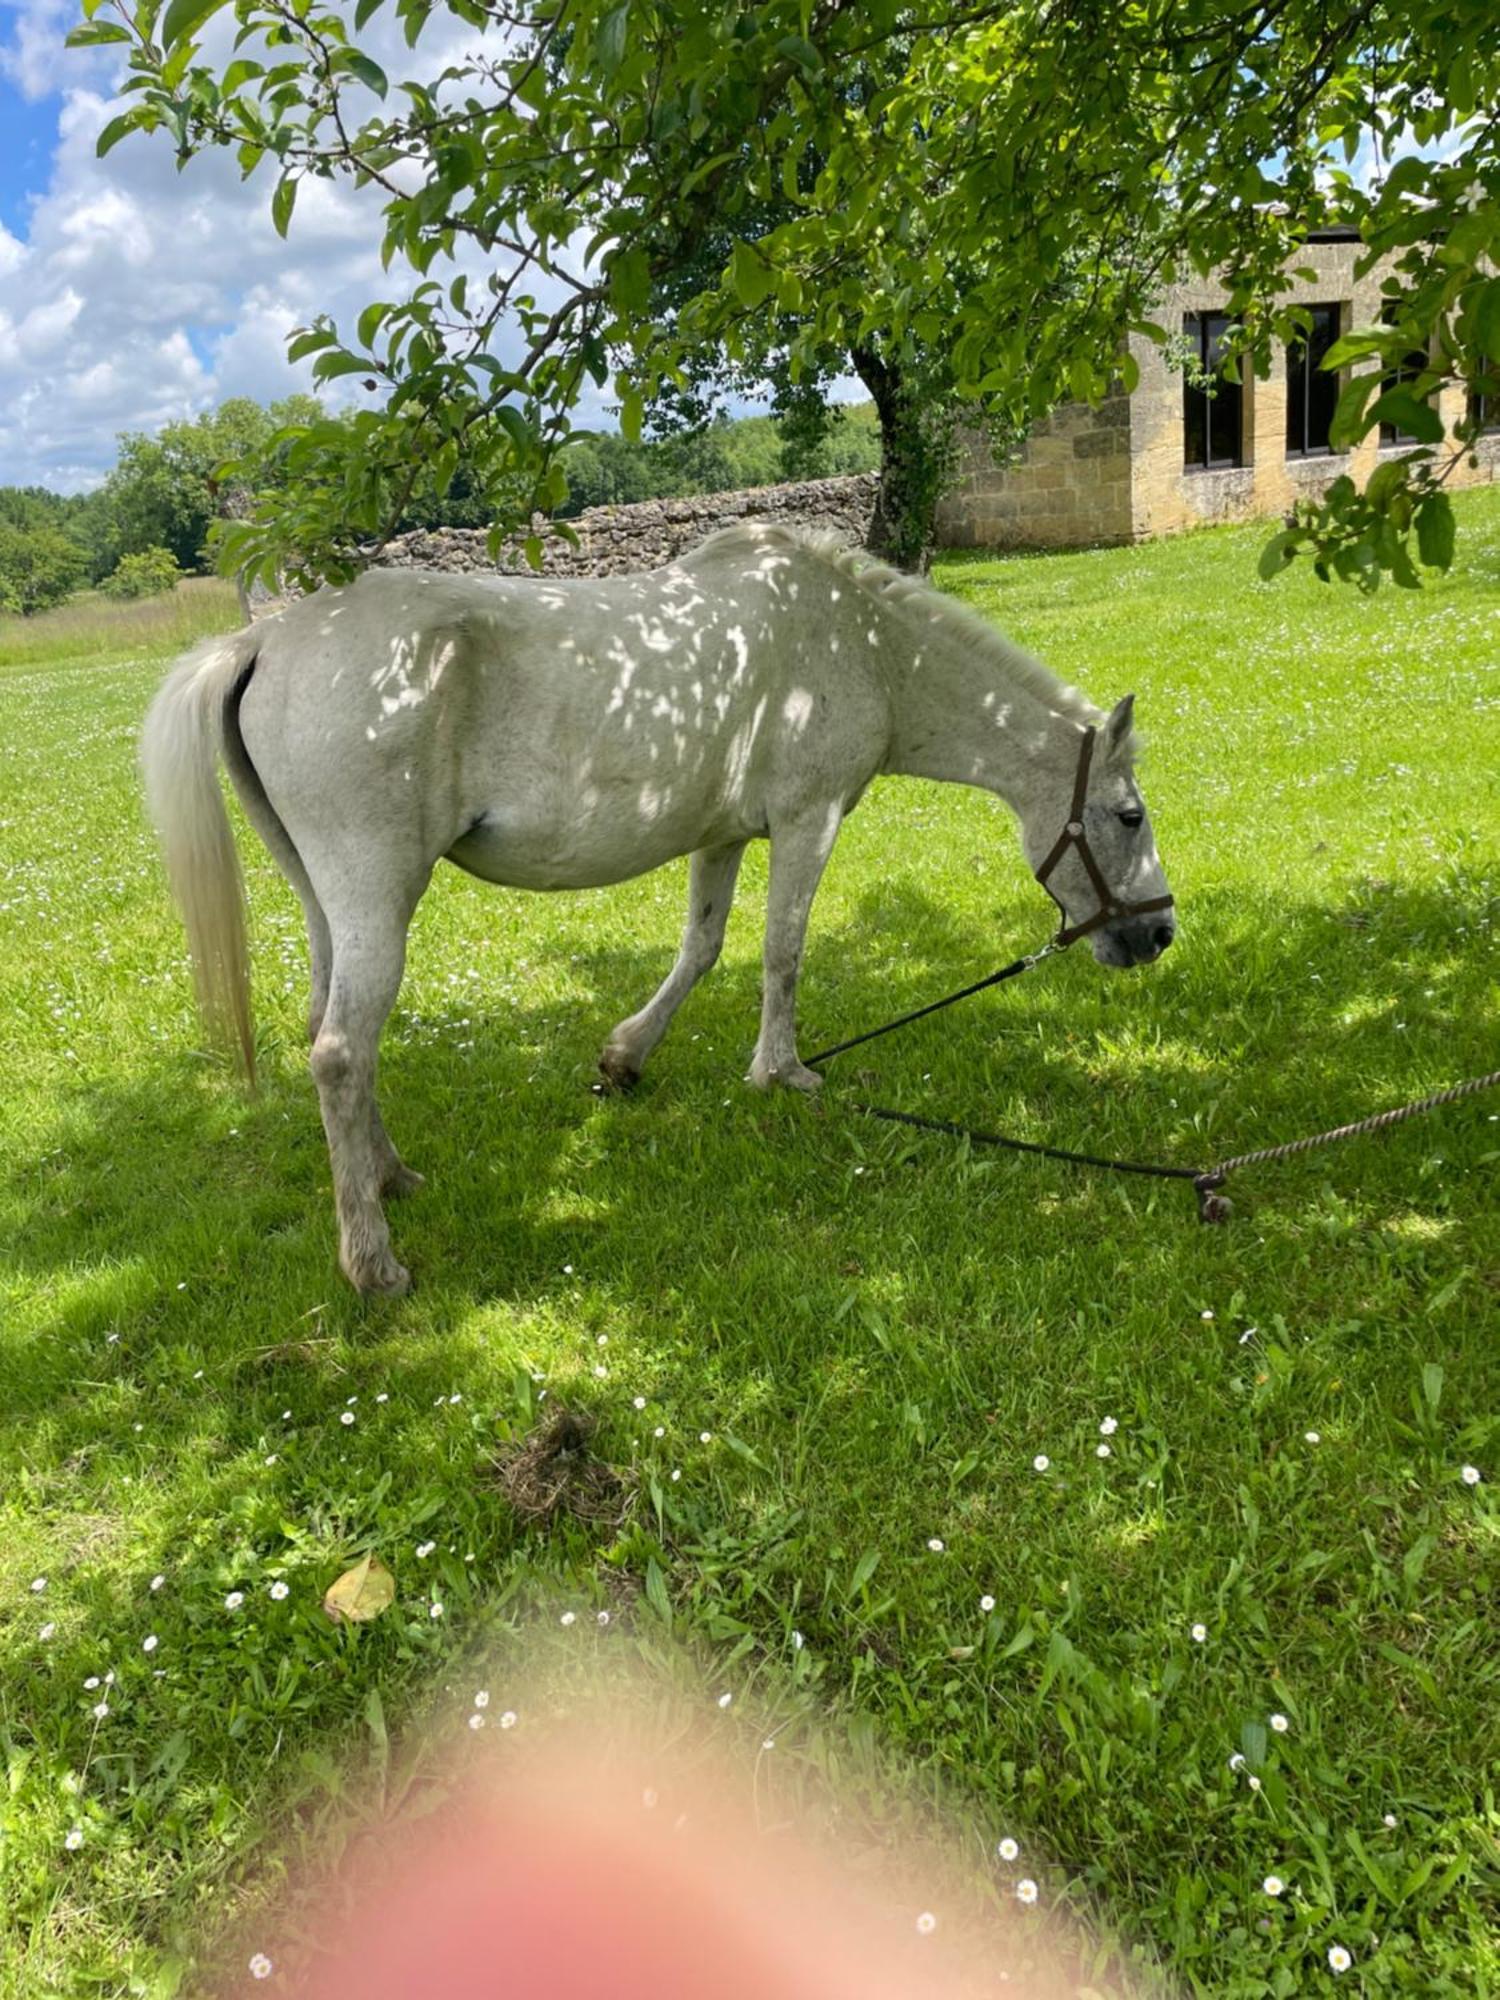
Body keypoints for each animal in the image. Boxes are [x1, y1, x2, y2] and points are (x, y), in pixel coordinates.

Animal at [144, 524, 1176, 1296]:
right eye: (1129, 815)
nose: (1158, 934)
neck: (861, 645)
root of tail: (266, 641)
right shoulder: (807, 822)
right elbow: (783, 949)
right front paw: (783, 1073)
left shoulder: (723, 835)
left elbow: (704, 947)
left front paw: (626, 1056)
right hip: (376, 894)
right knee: (341, 1052)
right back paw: (374, 1261)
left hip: (327, 902)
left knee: (332, 1034)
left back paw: (390, 1177)